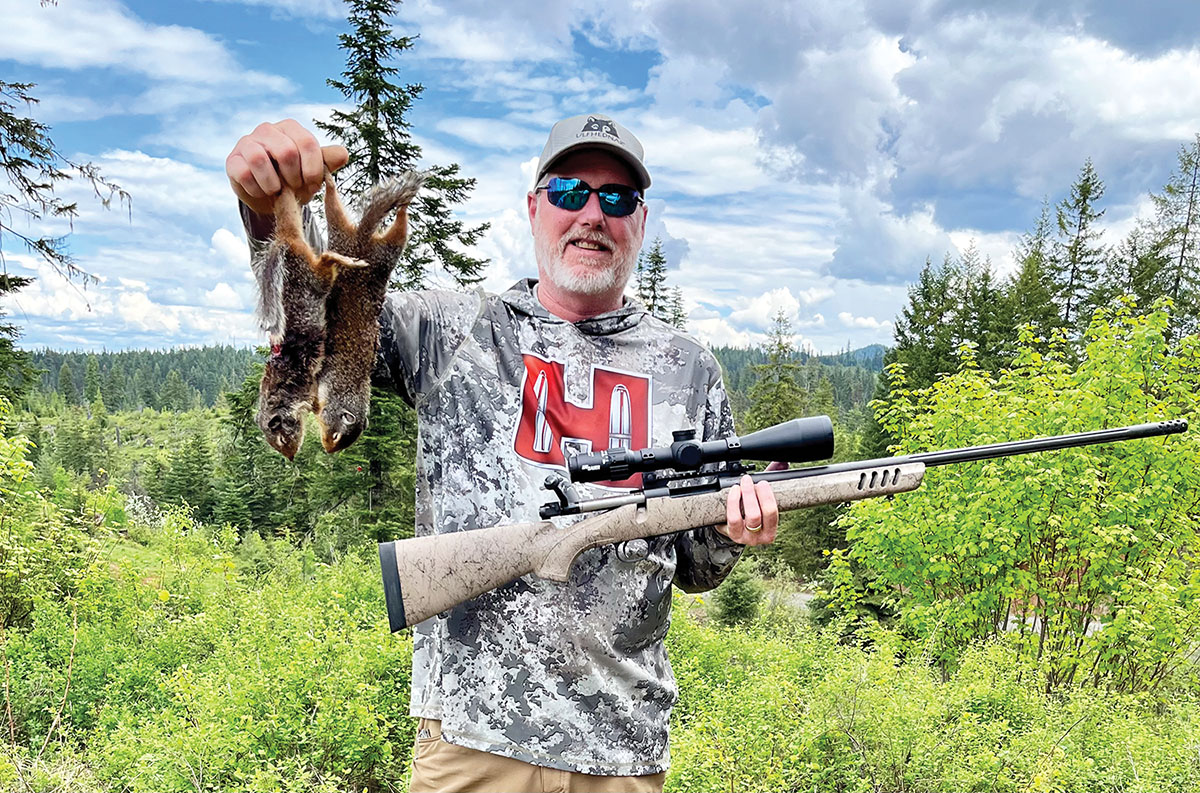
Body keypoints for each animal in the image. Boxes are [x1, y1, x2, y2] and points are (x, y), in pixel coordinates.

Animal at [252, 173, 365, 460]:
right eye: (275, 444)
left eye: (280, 438)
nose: (291, 457)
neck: (280, 398)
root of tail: (285, 239)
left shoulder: (306, 392)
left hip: (316, 278)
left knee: (326, 259)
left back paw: (347, 260)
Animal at [315, 170, 426, 452]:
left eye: (337, 440)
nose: (328, 450)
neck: (346, 390)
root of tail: (363, 239)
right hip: (344, 236)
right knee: (332, 205)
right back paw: (329, 181)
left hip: (387, 249)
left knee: (399, 227)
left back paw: (403, 207)